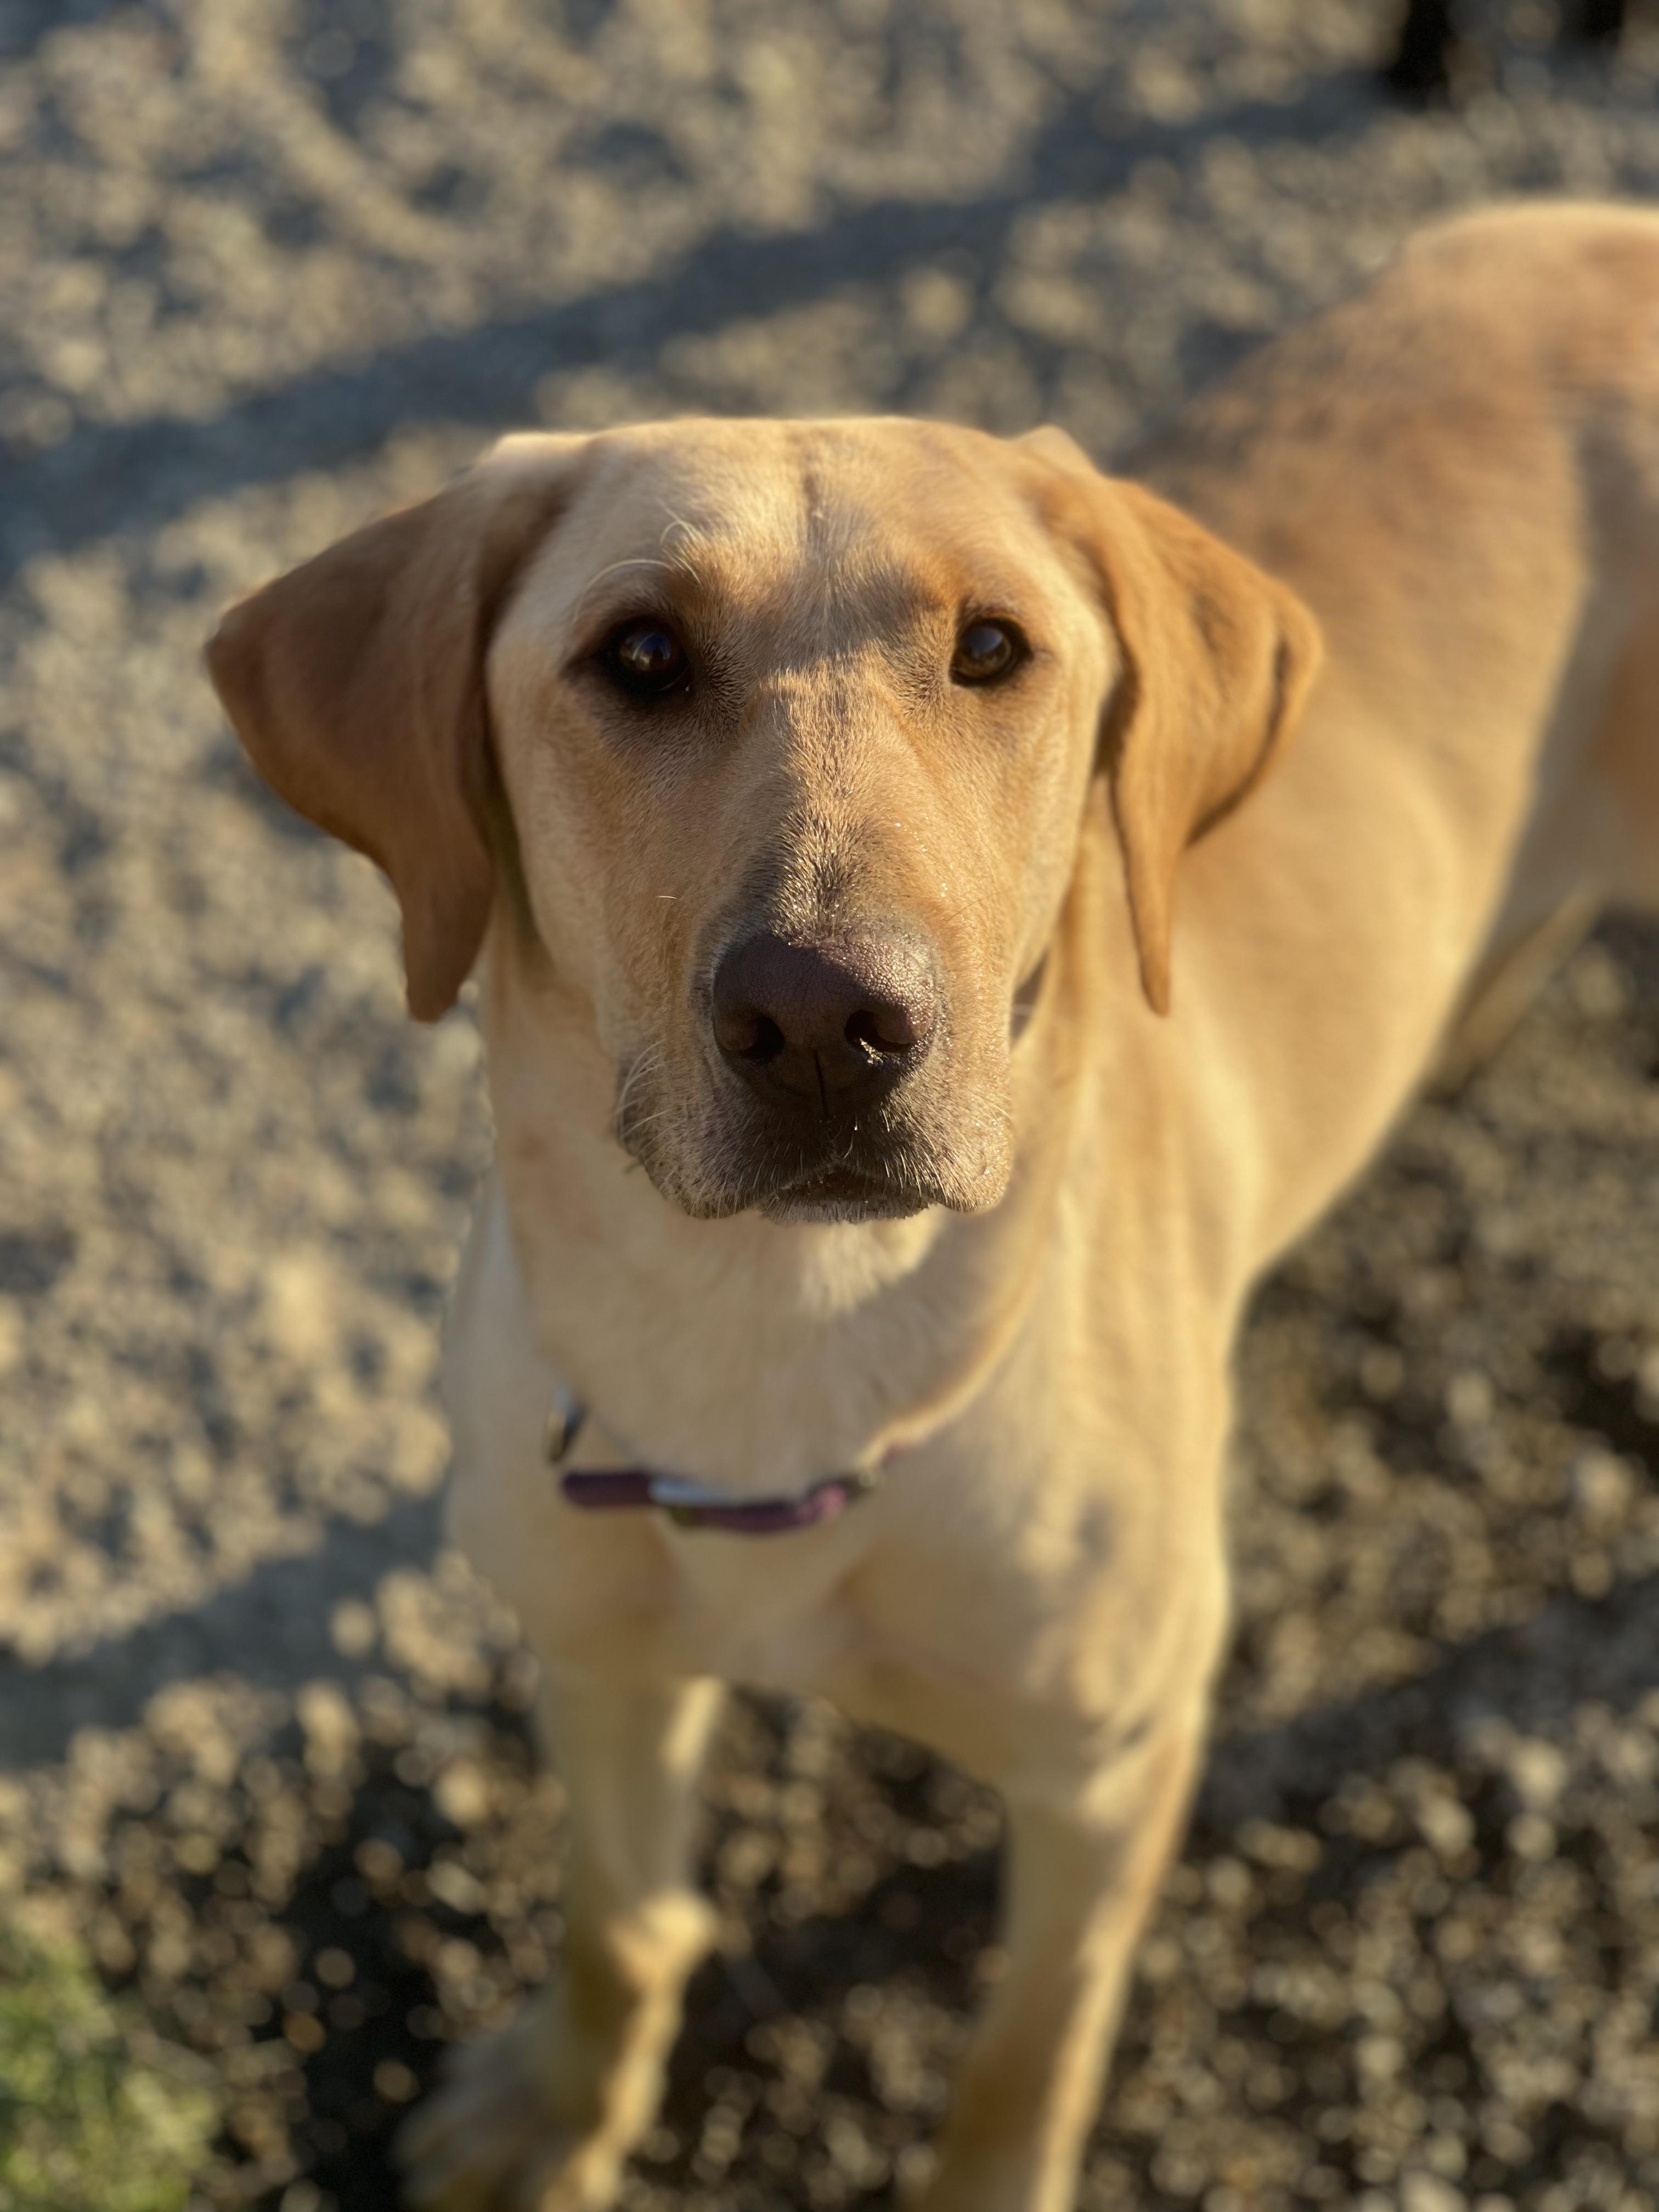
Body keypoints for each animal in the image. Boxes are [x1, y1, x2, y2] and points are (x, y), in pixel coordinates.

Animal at [207, 201, 1659, 2212]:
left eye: (993, 649)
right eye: (637, 654)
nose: (829, 1023)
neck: (776, 1351)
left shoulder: (1110, 1770)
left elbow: (1021, 2062)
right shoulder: (596, 1659)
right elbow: (618, 1922)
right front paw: (563, 2109)